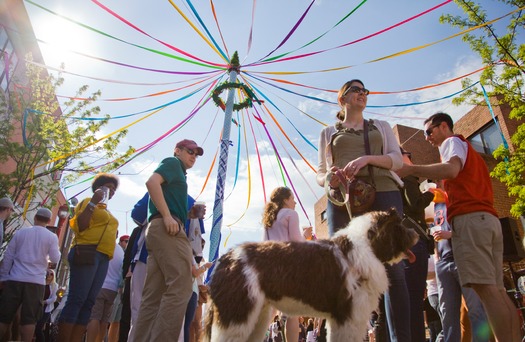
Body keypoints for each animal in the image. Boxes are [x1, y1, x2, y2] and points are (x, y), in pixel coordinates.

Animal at [203, 208, 416, 342]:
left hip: (256, 316)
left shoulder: (341, 318)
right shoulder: (348, 315)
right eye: (399, 226)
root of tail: (226, 258)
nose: (416, 233)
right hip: (236, 314)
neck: (366, 245)